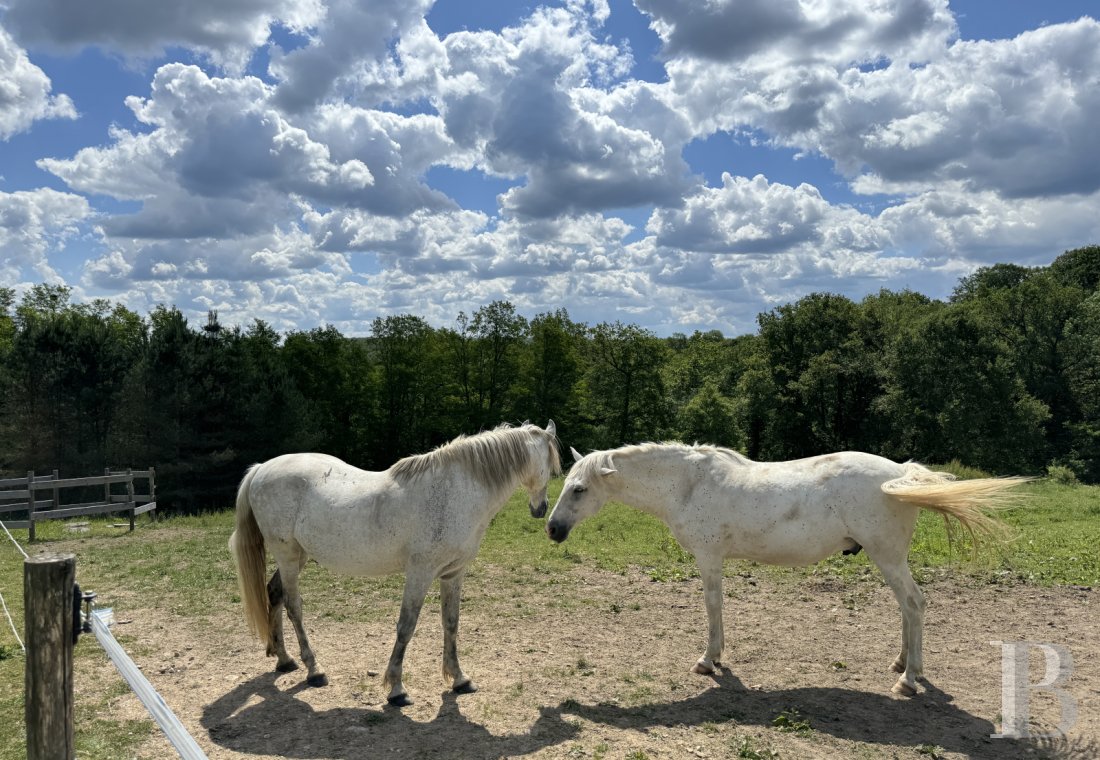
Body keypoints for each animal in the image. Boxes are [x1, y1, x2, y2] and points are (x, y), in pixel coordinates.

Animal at [229, 420, 558, 703]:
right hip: (287, 556)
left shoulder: (453, 574)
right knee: (293, 606)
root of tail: (261, 469)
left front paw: (459, 679)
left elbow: (451, 622)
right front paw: (397, 689)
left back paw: (284, 660)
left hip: (298, 556)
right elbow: (406, 626)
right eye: (552, 468)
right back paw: (314, 670)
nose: (541, 510)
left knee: (274, 593)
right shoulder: (420, 573)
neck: (454, 491)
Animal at [550, 442, 1029, 699]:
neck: (689, 485)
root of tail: (900, 473)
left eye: (579, 489)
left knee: (914, 603)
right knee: (907, 608)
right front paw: (717, 658)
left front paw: (708, 660)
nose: (552, 529)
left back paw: (909, 680)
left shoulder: (709, 560)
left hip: (888, 557)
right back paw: (902, 663)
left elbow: (712, 608)